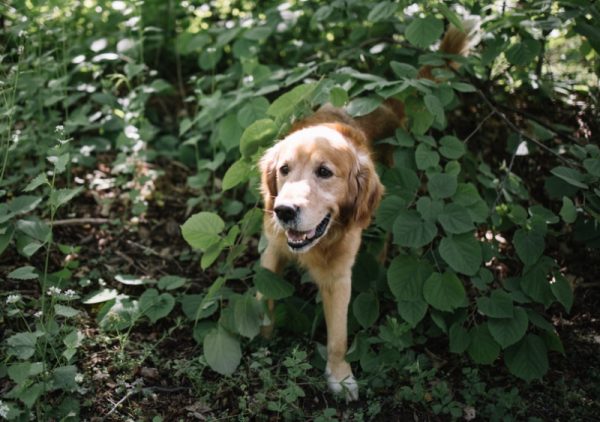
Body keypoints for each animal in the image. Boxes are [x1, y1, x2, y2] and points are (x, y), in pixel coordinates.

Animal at [258, 22, 478, 398]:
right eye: (284, 170)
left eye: (324, 172)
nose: (284, 211)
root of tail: (388, 104)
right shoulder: (272, 249)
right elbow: (265, 299)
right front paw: (262, 340)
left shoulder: (338, 275)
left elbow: (338, 336)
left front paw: (340, 376)